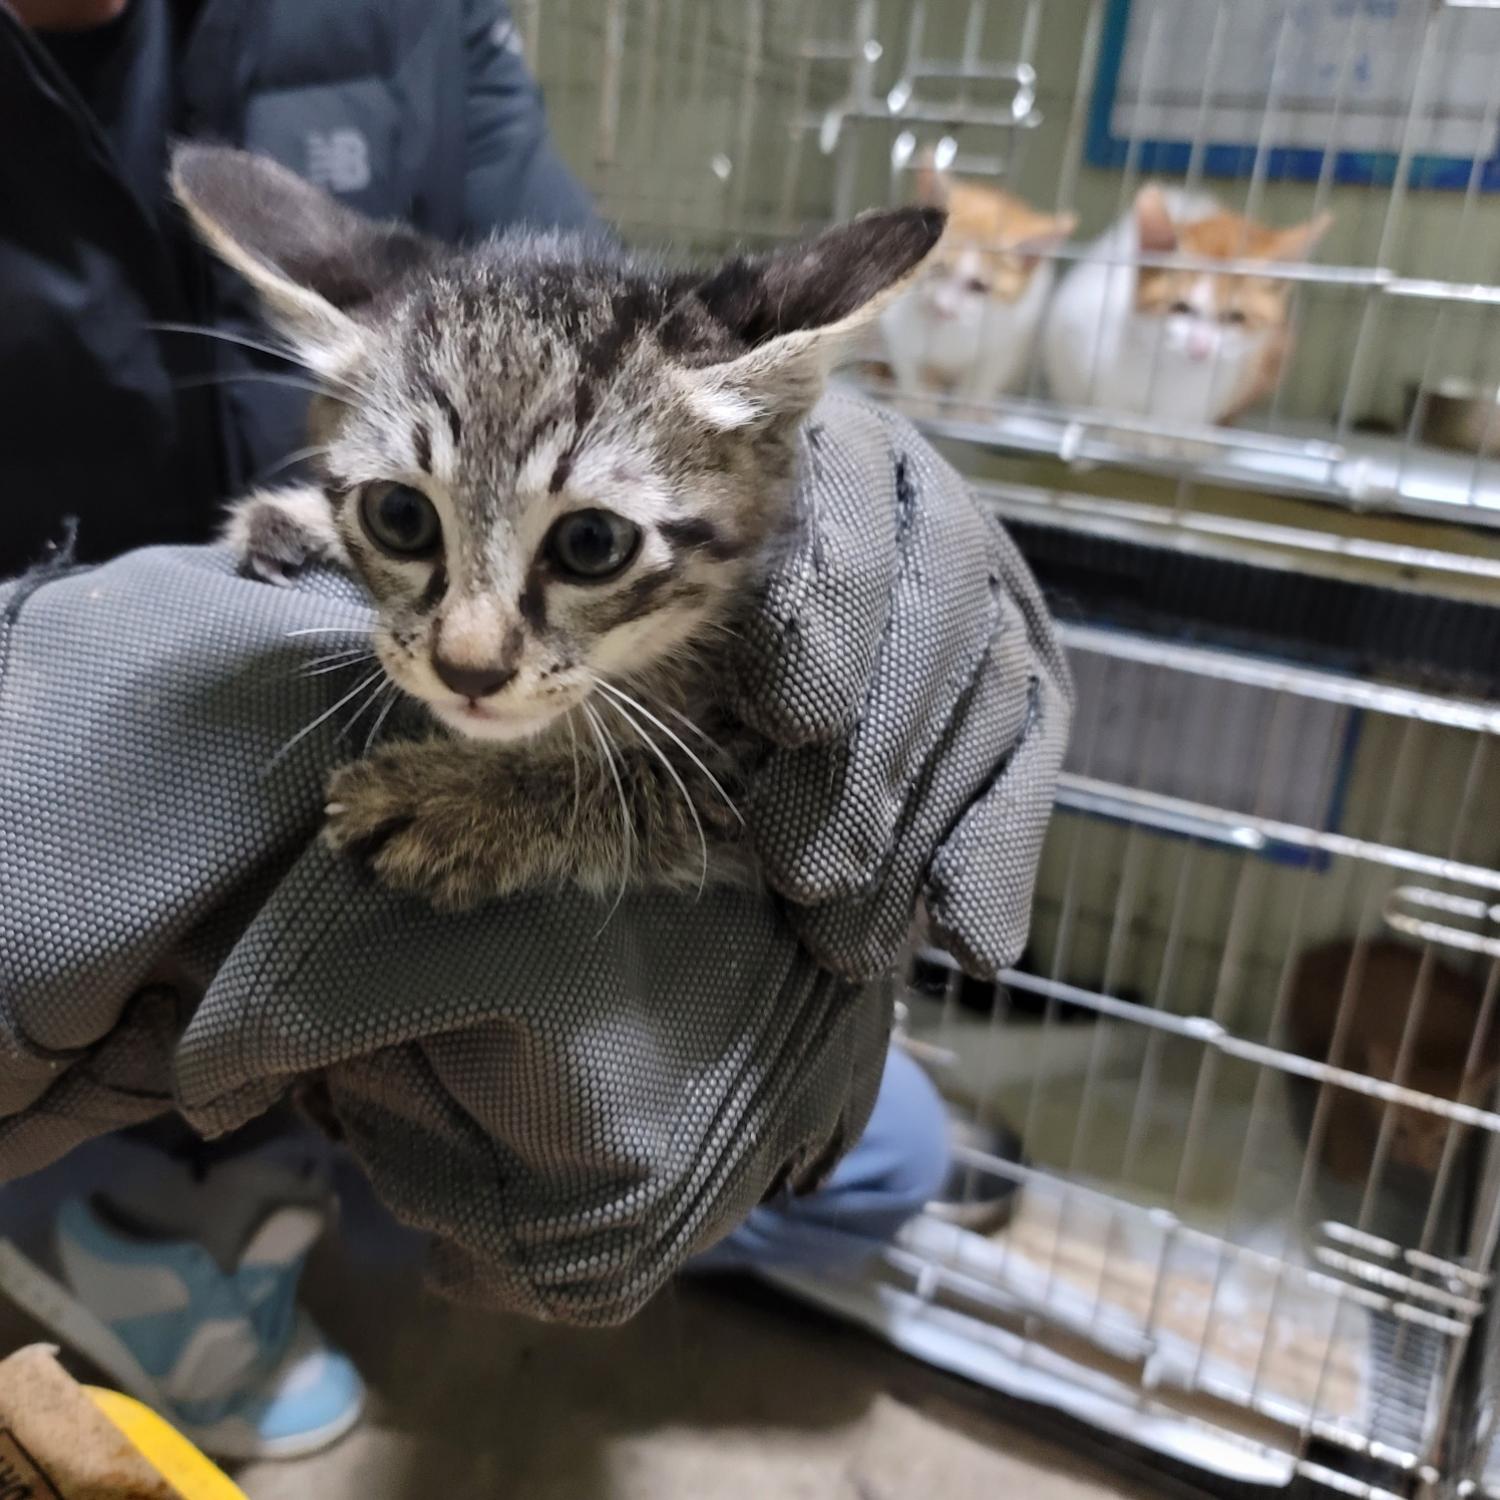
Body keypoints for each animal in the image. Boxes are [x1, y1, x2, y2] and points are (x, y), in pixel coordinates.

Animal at [172, 146, 936, 906]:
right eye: (399, 516)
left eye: (591, 544)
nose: (468, 671)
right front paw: (293, 515)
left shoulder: (774, 789)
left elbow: (666, 785)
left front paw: (453, 798)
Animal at [1044, 186, 1338, 426]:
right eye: (1180, 307)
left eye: (1235, 317)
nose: (1200, 347)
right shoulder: (1074, 326)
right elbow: (1100, 400)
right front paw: (1120, 427)